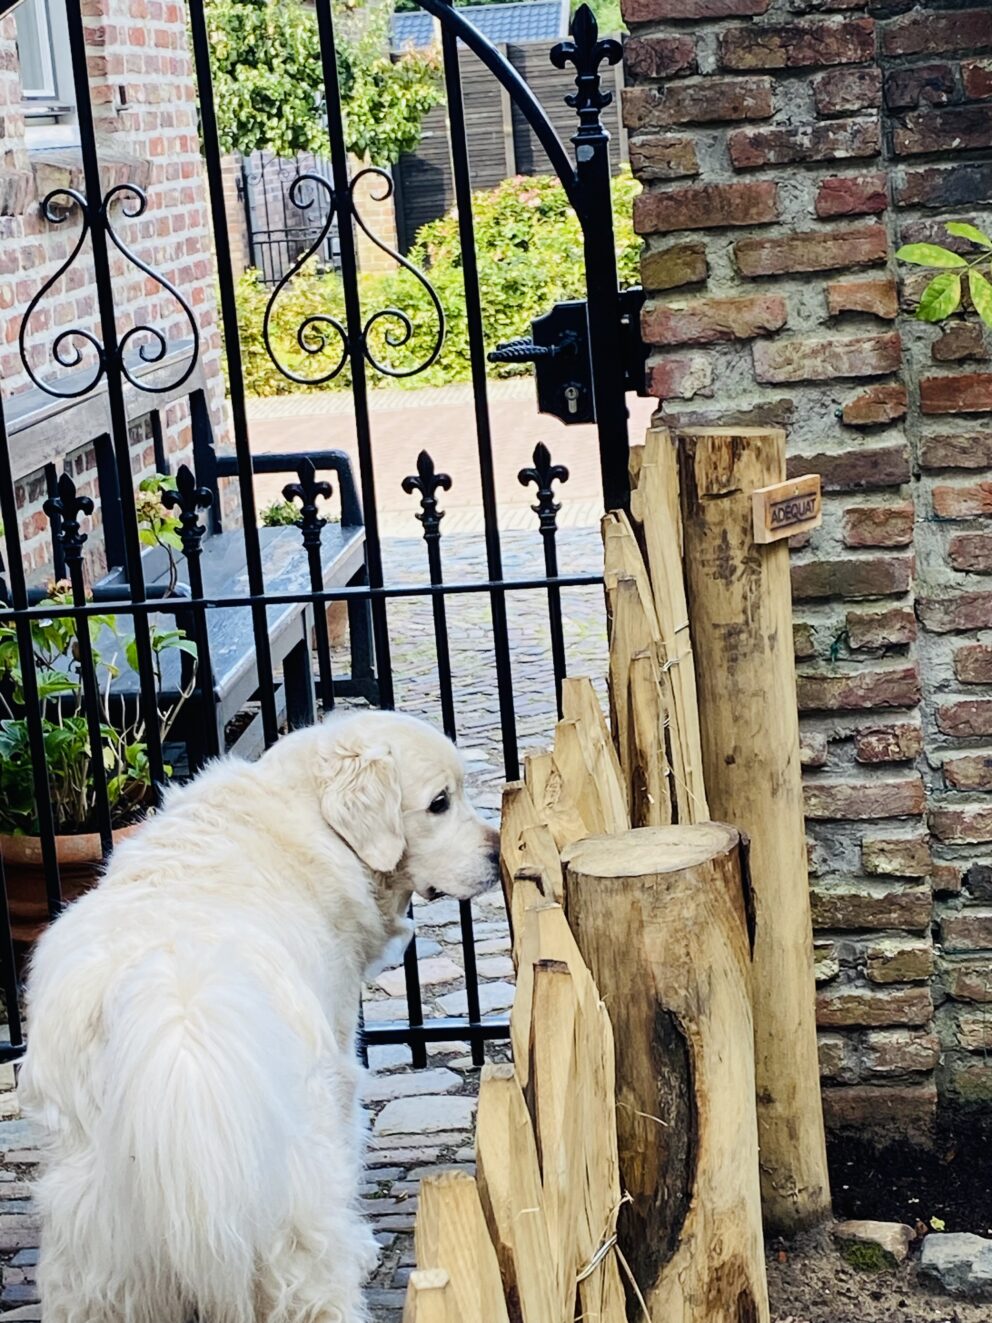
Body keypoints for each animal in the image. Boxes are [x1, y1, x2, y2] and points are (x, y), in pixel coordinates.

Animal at [21, 714, 505, 1323]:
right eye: (441, 802)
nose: (498, 852)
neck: (315, 818)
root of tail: (169, 1001)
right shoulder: (339, 1055)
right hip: (288, 1184)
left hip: (94, 1217)